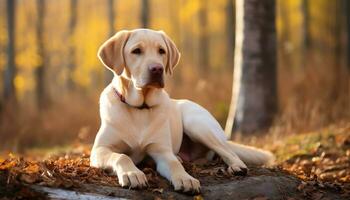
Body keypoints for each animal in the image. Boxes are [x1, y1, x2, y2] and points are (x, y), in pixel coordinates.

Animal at [89, 28, 274, 193]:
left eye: (161, 51)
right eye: (136, 51)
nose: (157, 69)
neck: (140, 107)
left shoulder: (162, 150)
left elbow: (173, 164)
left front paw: (186, 179)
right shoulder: (99, 150)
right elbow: (121, 156)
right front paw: (132, 173)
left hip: (197, 124)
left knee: (228, 151)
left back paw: (237, 166)